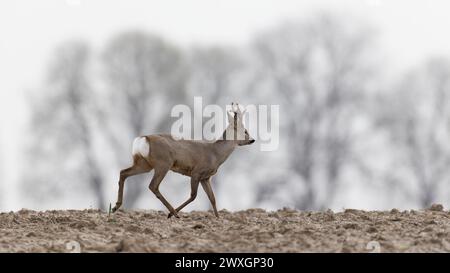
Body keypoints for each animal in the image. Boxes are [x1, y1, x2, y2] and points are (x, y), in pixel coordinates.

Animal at [111, 102, 255, 217]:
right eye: (244, 131)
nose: (252, 140)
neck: (215, 154)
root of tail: (143, 138)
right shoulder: (196, 172)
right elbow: (193, 196)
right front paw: (171, 214)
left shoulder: (205, 178)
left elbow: (212, 198)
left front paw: (218, 218)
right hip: (163, 163)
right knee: (153, 186)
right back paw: (174, 213)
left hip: (144, 164)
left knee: (124, 172)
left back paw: (115, 206)